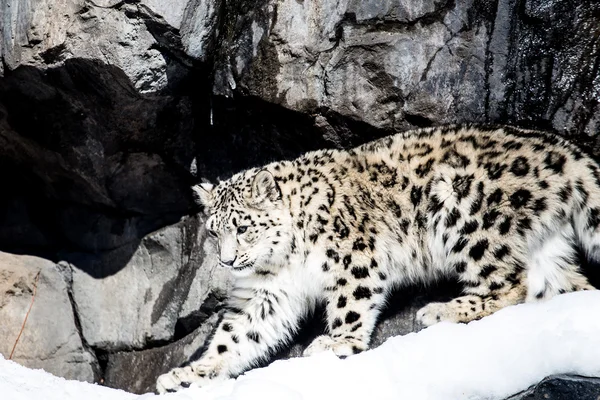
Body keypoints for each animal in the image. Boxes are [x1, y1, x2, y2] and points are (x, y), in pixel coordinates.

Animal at [157, 123, 596, 392]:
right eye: (214, 232)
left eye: (244, 227)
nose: (228, 262)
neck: (283, 259)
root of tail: (567, 151)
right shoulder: (268, 293)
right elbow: (236, 336)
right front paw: (187, 375)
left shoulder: (352, 255)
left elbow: (350, 303)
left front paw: (335, 344)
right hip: (548, 246)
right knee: (563, 286)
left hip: (467, 214)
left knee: (514, 282)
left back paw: (443, 310)